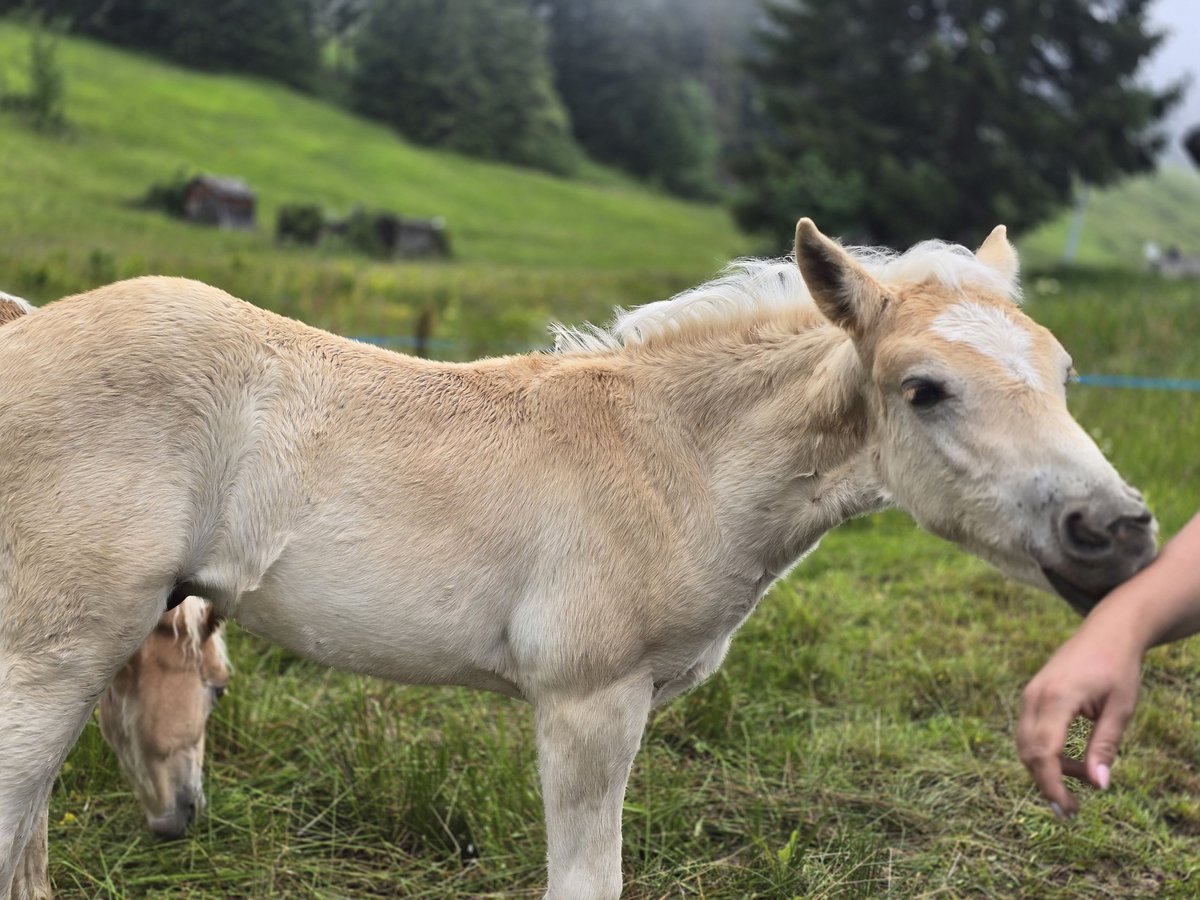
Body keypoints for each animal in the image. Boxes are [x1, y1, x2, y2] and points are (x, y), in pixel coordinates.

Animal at [0, 220, 1156, 900]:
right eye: (924, 389)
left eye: (1062, 371)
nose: (1118, 533)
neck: (671, 458)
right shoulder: (590, 704)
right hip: (56, 648)